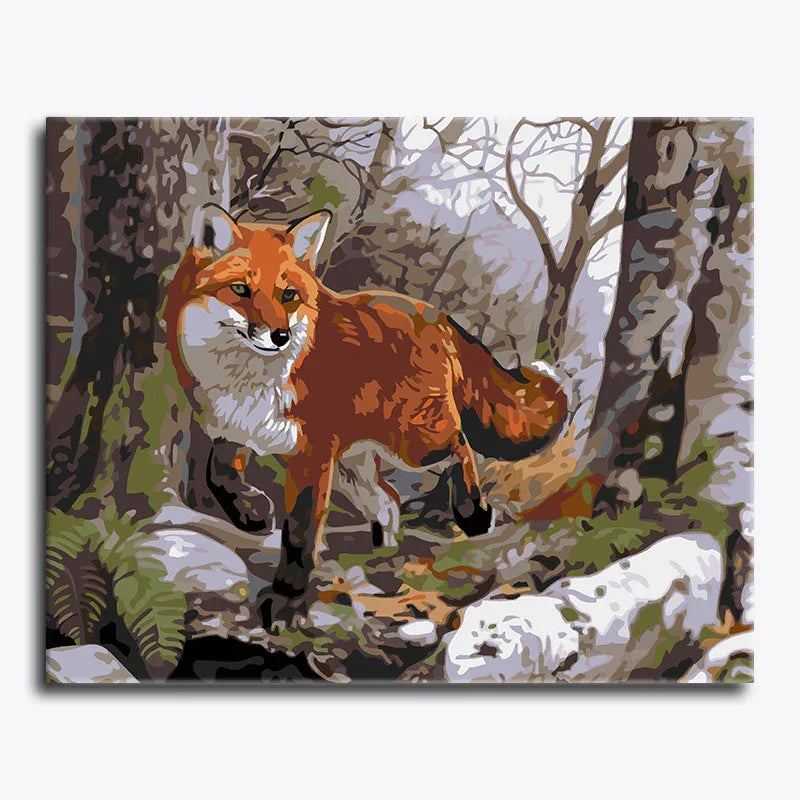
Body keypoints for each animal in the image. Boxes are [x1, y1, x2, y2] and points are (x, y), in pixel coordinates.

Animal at [165, 203, 569, 621]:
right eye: (241, 290)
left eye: (288, 295)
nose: (279, 336)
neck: (250, 380)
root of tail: (436, 314)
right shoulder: (238, 429)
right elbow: (217, 473)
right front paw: (251, 511)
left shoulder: (311, 457)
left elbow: (299, 533)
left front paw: (286, 598)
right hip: (355, 469)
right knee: (389, 501)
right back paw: (382, 556)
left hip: (414, 443)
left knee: (460, 444)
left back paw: (473, 512)